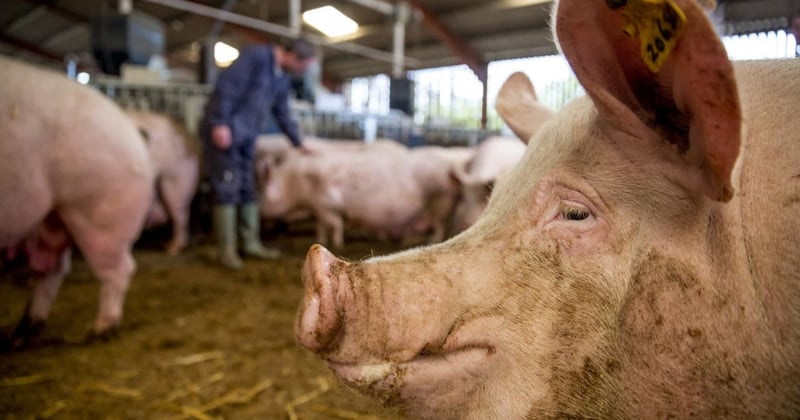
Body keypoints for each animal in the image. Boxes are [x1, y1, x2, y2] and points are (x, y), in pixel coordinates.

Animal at [0, 57, 155, 346]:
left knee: (118, 269)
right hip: (54, 217)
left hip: (98, 214)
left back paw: (100, 331)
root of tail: (131, 129)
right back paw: (22, 335)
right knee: (54, 270)